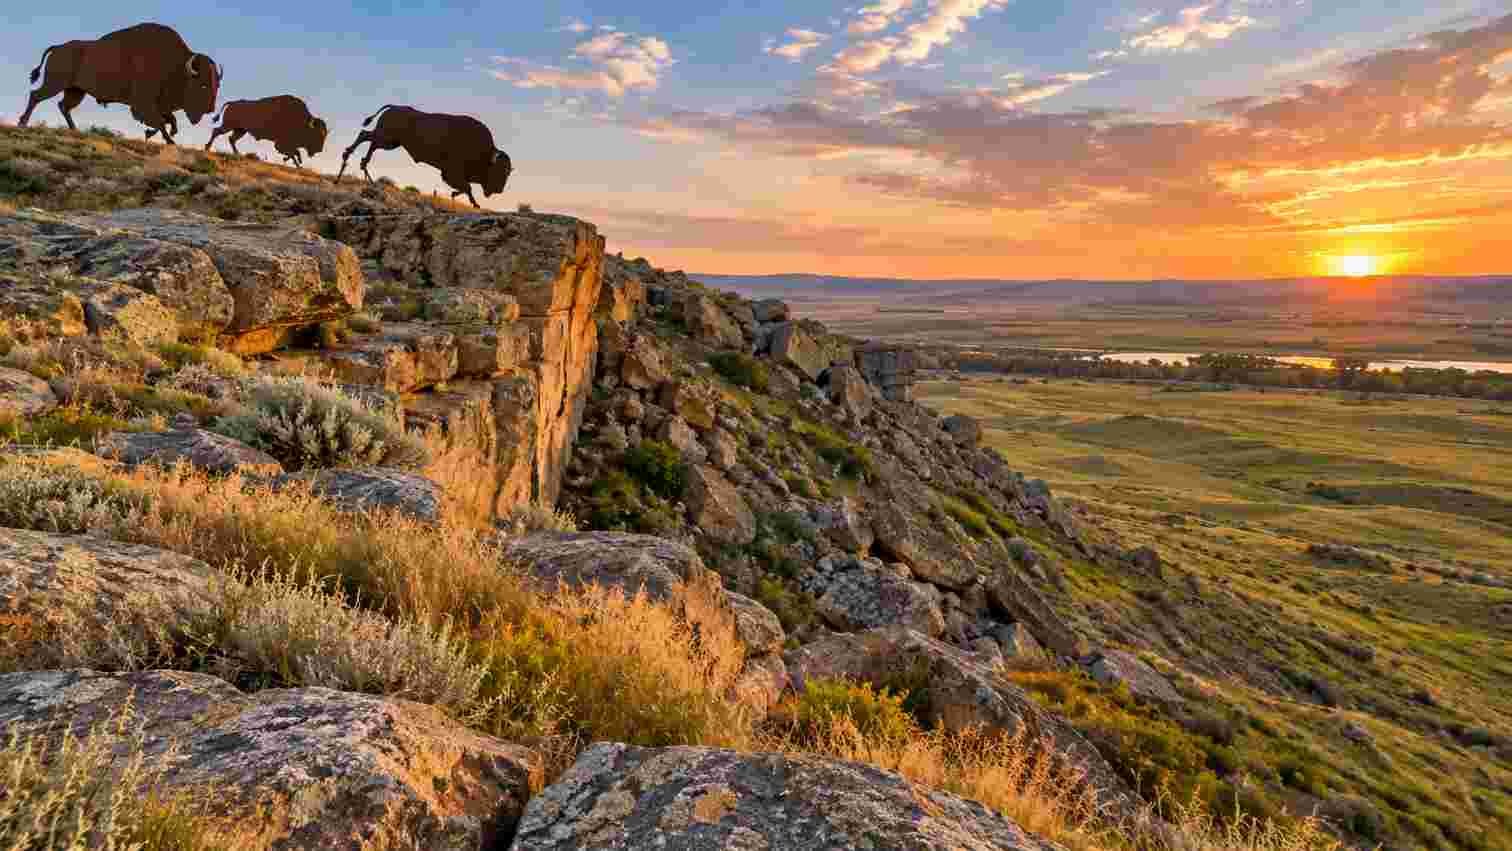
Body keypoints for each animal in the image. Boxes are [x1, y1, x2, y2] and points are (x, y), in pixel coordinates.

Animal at [18, 22, 221, 144]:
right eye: (203, 85)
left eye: (217, 86)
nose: (211, 109)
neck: (177, 67)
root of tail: (58, 47)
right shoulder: (143, 103)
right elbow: (160, 121)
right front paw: (169, 141)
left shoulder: (159, 106)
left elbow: (169, 121)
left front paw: (156, 134)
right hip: (55, 84)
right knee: (36, 96)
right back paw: (22, 123)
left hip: (75, 91)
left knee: (63, 106)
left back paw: (74, 130)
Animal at [337, 105, 512, 208]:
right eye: (498, 171)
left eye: (507, 173)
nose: (500, 190)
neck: (485, 154)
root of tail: (395, 107)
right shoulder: (451, 173)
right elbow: (467, 187)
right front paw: (474, 203)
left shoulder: (452, 175)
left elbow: (465, 188)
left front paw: (462, 198)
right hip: (386, 139)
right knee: (365, 136)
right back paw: (348, 158)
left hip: (390, 142)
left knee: (368, 140)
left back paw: (358, 165)